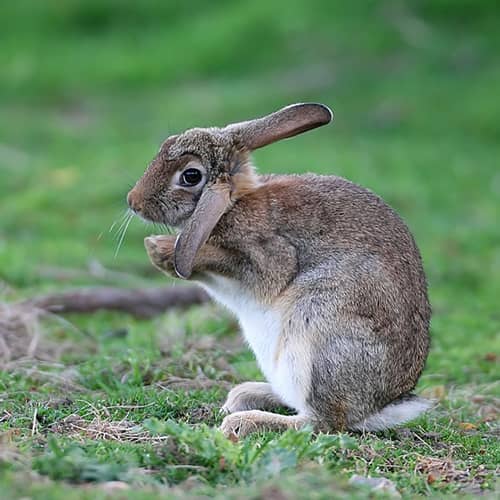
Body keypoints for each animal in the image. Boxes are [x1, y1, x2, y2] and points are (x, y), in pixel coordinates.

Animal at [127, 102, 432, 438]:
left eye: (190, 175)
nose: (133, 201)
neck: (234, 204)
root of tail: (380, 407)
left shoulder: (271, 255)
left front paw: (161, 248)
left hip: (317, 335)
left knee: (322, 422)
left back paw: (244, 421)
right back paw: (245, 396)